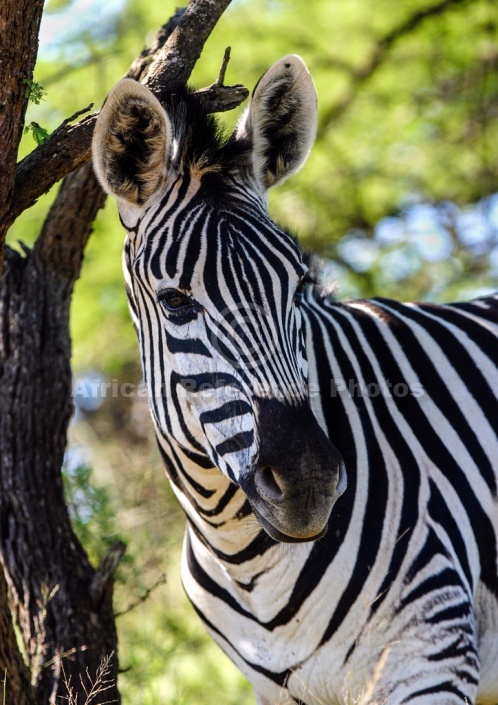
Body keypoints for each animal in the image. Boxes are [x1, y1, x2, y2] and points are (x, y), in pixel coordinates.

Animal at [92, 56, 498, 704]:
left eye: (300, 283)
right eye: (176, 302)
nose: (310, 486)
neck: (244, 552)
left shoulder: (430, 655)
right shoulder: (277, 687)